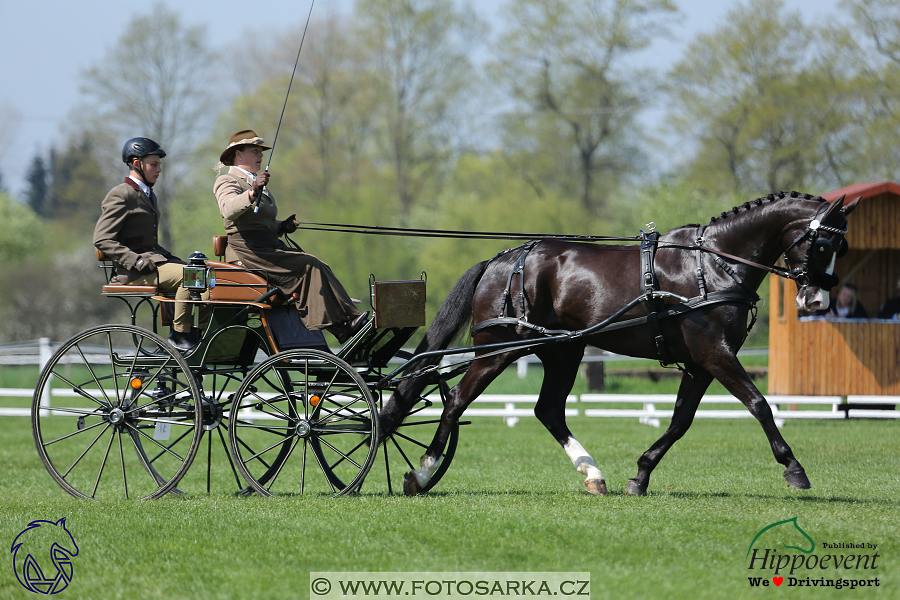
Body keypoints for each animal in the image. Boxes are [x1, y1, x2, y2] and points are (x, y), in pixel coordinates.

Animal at [378, 192, 856, 496]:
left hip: (564, 350)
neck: (714, 266)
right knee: (456, 400)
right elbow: (759, 404)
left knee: (548, 410)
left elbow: (680, 421)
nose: (817, 300)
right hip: (501, 349)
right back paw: (423, 473)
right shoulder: (715, 354)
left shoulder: (701, 363)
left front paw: (641, 475)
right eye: (823, 243)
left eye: (842, 246)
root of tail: (501, 260)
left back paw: (593, 474)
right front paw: (794, 468)